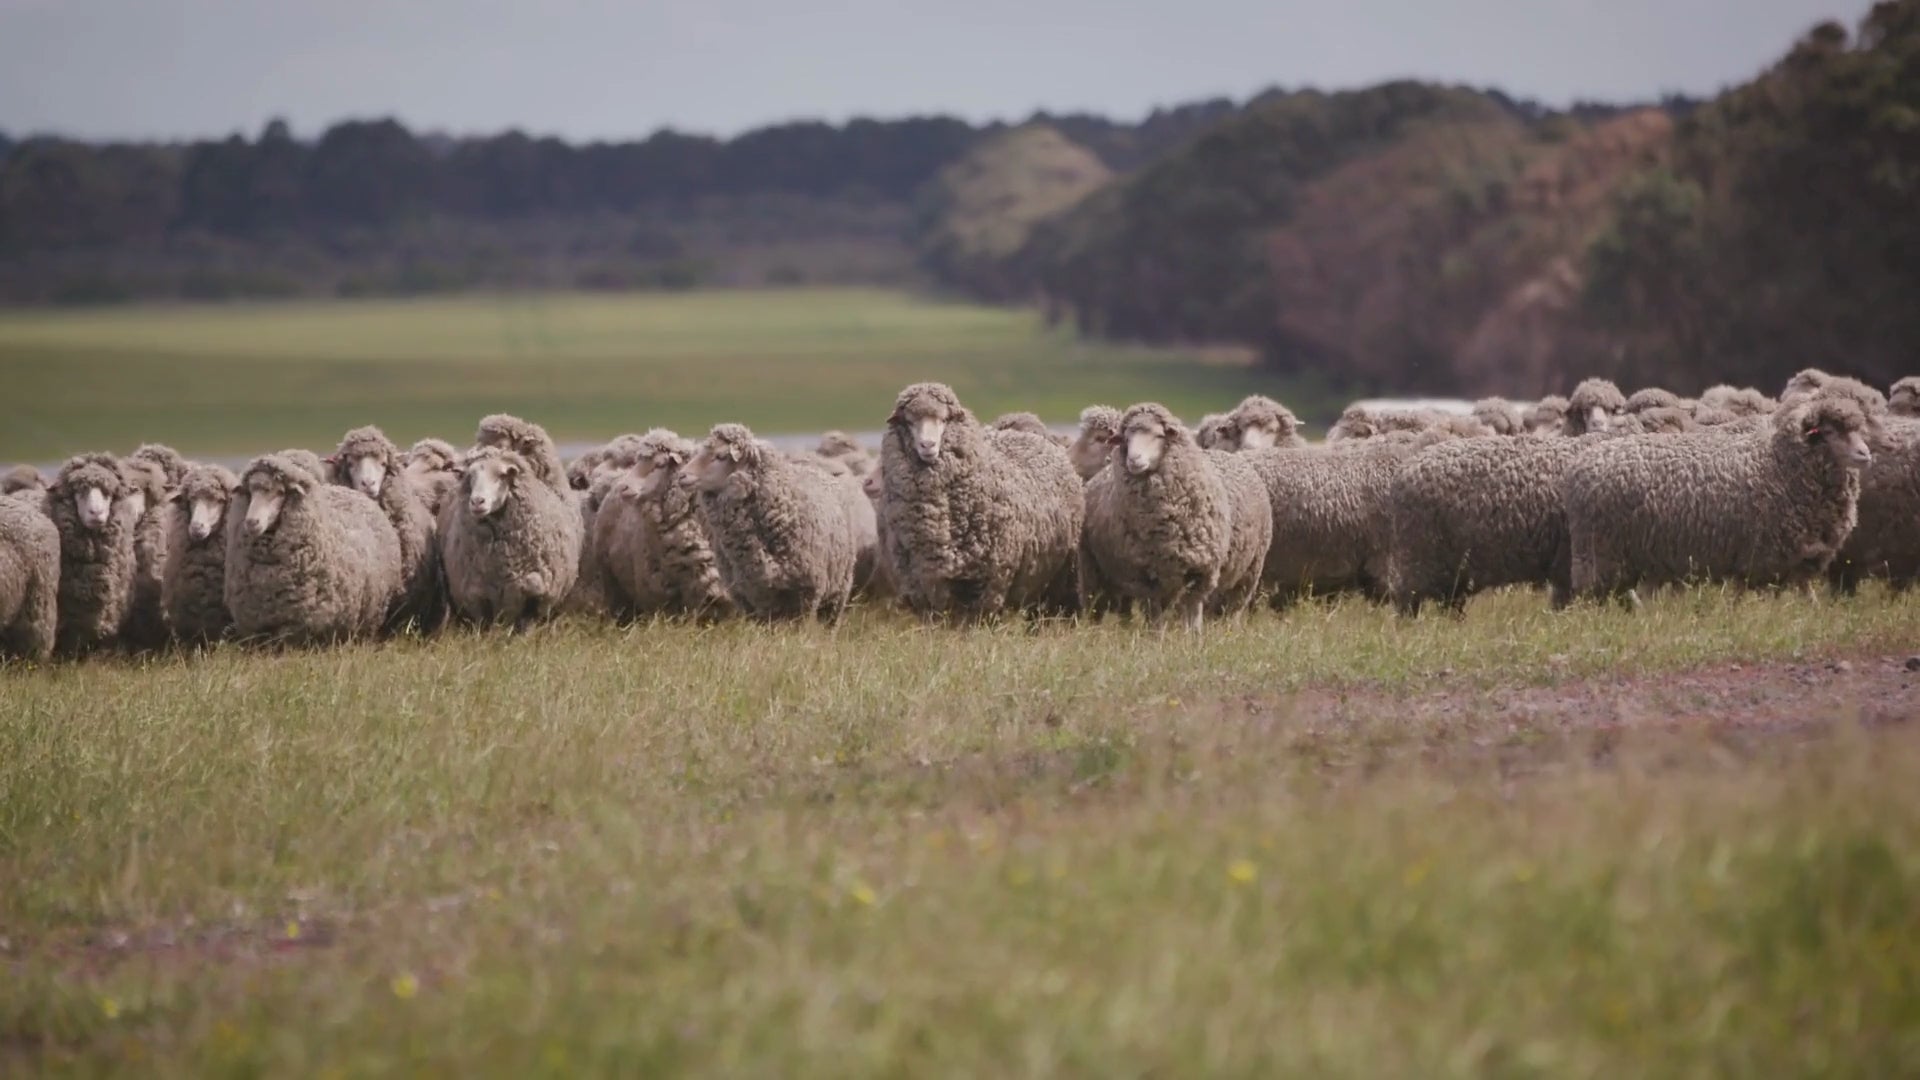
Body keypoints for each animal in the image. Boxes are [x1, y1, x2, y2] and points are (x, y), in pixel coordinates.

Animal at [439, 445, 582, 629]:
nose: (477, 501)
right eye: (470, 476)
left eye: (501, 475)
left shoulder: (535, 596)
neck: (503, 560)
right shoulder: (476, 598)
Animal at [878, 383, 1085, 621]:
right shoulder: (921, 585)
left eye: (944, 419)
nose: (927, 445)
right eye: (909, 421)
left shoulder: (992, 578)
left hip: (1060, 575)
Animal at [1078, 404, 1271, 629]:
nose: (1134, 460)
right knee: (1097, 607)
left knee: (1234, 607)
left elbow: (1193, 615)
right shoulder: (1146, 576)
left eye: (1159, 435)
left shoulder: (1201, 571)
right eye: (1126, 438)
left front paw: (1193, 636)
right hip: (1093, 570)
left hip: (1250, 569)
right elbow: (1156, 620)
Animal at [1563, 388, 1878, 602]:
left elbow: (1803, 596)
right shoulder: (1761, 556)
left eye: (1858, 430)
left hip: (1650, 553)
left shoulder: (1793, 558)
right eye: (1829, 432)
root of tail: (1581, 465)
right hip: (1600, 551)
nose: (1865, 454)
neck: (1781, 464)